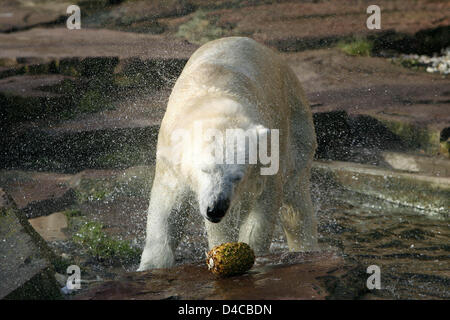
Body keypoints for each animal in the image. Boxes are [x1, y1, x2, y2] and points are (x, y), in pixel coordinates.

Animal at [139, 36, 318, 270]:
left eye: (237, 176)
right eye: (205, 170)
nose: (215, 209)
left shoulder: (267, 157)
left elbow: (264, 207)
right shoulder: (171, 154)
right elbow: (168, 207)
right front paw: (151, 266)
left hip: (296, 122)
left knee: (296, 201)